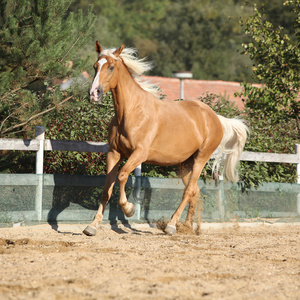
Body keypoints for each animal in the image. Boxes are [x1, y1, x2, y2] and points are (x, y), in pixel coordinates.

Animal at [83, 41, 247, 236]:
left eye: (111, 67)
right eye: (95, 66)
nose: (94, 94)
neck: (131, 112)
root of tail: (215, 118)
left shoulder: (140, 153)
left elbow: (122, 176)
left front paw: (129, 209)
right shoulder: (114, 153)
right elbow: (107, 188)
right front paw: (92, 226)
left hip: (201, 158)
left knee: (188, 191)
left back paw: (171, 225)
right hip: (184, 164)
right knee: (195, 191)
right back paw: (187, 227)